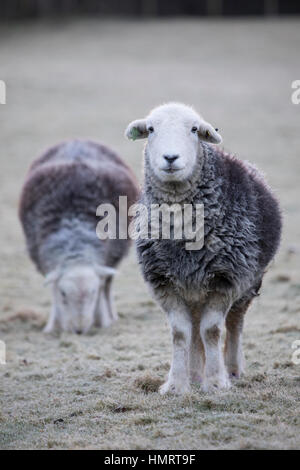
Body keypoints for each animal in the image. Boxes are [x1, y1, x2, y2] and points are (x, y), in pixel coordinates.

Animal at [19, 140, 139, 334]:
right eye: (64, 294)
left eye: (93, 293)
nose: (79, 331)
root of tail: (77, 141)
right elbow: (52, 291)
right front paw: (52, 325)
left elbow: (103, 288)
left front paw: (103, 320)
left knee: (108, 286)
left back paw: (111, 315)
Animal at [125, 104, 282, 394]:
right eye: (150, 129)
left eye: (194, 129)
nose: (170, 157)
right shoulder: (162, 280)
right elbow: (180, 333)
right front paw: (176, 384)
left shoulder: (226, 278)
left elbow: (212, 331)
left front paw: (217, 382)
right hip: (194, 289)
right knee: (195, 327)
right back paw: (195, 375)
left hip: (248, 281)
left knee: (234, 323)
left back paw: (232, 369)